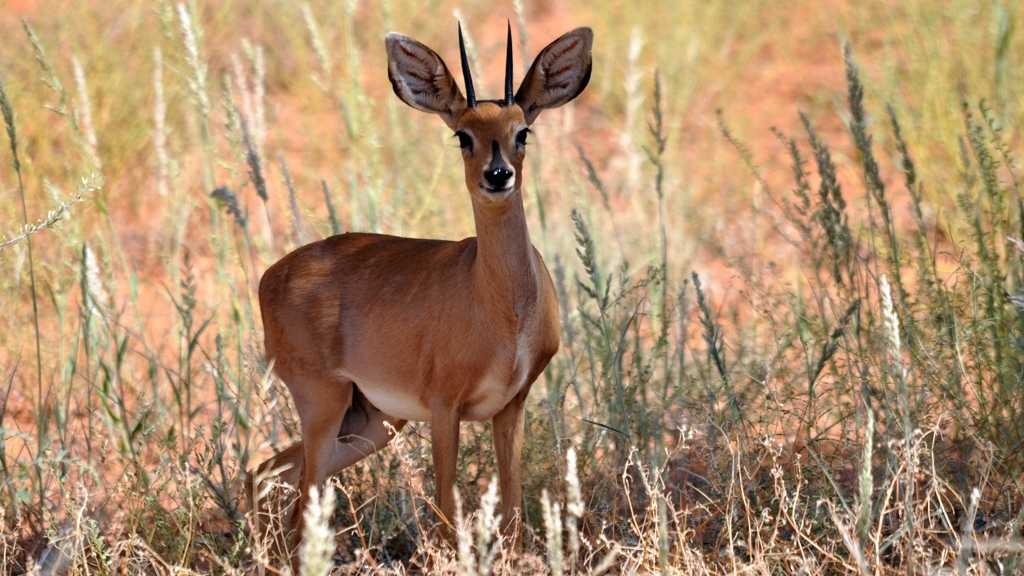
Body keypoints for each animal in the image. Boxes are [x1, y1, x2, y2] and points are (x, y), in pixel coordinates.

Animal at [251, 21, 598, 541]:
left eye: (522, 131)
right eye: (462, 136)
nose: (498, 175)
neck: (502, 308)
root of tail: (270, 276)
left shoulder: (510, 406)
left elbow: (513, 511)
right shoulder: (443, 407)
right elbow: (447, 513)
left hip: (370, 420)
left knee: (264, 472)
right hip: (324, 403)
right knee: (296, 504)